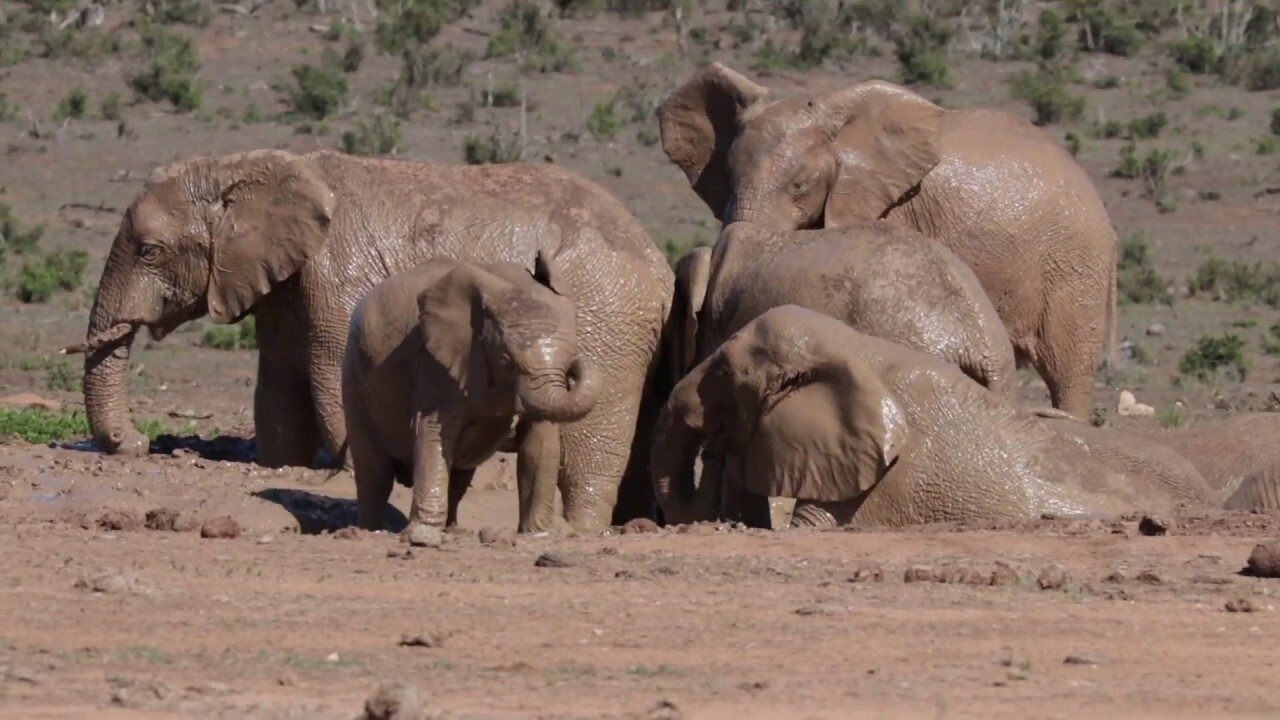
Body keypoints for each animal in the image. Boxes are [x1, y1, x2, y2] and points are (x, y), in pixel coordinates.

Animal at [340, 251, 599, 527]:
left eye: (568, 357)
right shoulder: (435, 359)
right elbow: (434, 430)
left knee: (458, 478)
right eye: (506, 359)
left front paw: (537, 532)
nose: (577, 366)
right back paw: (368, 529)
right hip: (355, 377)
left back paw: (451, 529)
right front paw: (423, 530)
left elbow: (540, 441)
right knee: (374, 473)